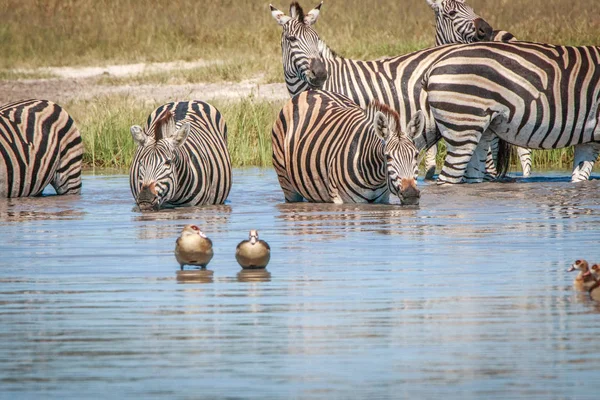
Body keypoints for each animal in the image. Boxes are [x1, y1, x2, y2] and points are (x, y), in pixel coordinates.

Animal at [270, 89, 424, 205]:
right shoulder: (339, 200)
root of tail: (310, 91)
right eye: (388, 157)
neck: (374, 179)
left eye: (416, 155)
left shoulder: (382, 200)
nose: (411, 194)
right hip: (286, 183)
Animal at [422, 40, 600, 184]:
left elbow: (579, 177)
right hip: (463, 126)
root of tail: (432, 67)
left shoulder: (588, 141)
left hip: (480, 131)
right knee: (448, 179)